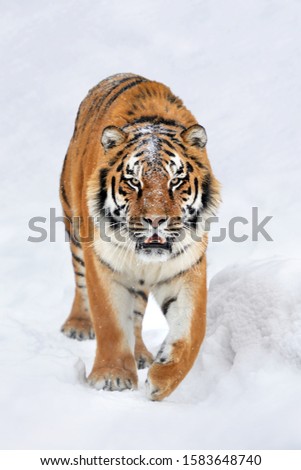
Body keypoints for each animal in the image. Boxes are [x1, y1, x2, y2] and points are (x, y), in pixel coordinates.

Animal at [59, 73, 219, 400]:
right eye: (134, 182)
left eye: (176, 181)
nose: (155, 220)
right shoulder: (103, 264)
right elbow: (110, 322)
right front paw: (111, 377)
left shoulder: (187, 267)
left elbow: (192, 330)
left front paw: (162, 378)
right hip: (75, 230)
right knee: (80, 285)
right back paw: (78, 325)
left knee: (136, 314)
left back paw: (143, 355)